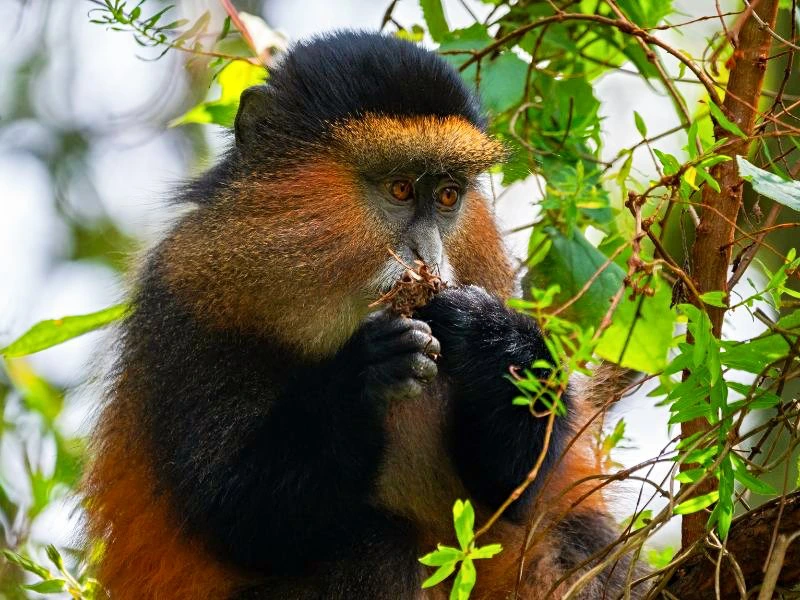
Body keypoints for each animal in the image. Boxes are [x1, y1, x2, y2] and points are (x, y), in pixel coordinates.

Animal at [84, 31, 643, 600]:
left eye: (448, 195)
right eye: (399, 189)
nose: (428, 257)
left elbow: (511, 487)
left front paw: (491, 338)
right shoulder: (186, 301)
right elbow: (240, 516)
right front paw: (367, 373)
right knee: (376, 546)